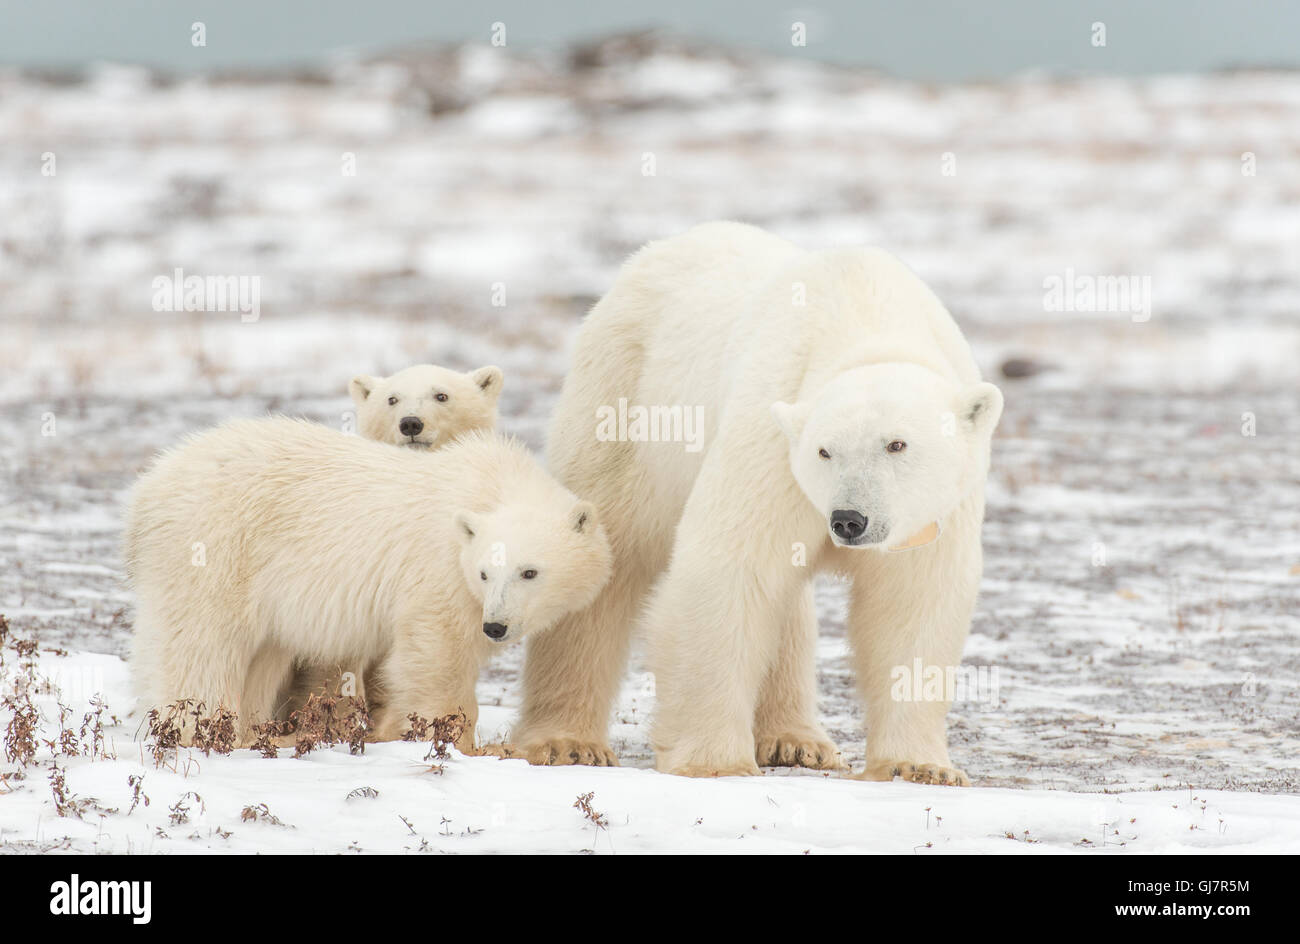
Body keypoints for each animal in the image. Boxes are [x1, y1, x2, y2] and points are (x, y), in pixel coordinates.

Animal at [124, 421, 611, 754]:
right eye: (485, 573)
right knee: (201, 648)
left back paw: (252, 731)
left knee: (261, 658)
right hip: (216, 547)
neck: (491, 485)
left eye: (529, 572)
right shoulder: (439, 572)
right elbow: (437, 653)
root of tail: (148, 489)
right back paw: (203, 731)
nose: (496, 627)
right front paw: (455, 742)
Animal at [517, 222, 1003, 785]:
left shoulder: (937, 509)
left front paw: (919, 767)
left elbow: (912, 603)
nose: (849, 520)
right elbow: (730, 569)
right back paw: (565, 741)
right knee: (603, 563)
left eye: (896, 444)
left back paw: (796, 740)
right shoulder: (771, 442)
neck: (870, 324)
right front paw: (714, 762)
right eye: (824, 450)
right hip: (624, 404)